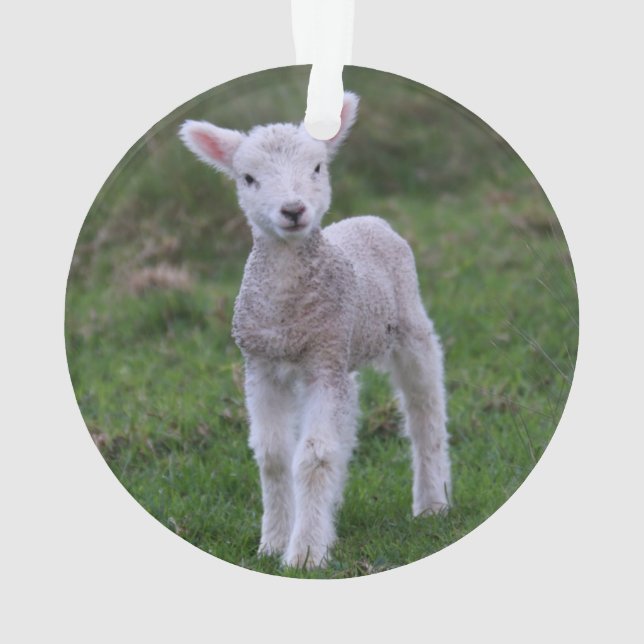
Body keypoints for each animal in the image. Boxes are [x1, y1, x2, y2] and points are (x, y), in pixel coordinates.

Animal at [179, 92, 451, 569]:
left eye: (318, 167)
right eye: (248, 178)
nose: (293, 210)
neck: (288, 310)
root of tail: (369, 220)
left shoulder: (323, 362)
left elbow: (314, 456)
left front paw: (305, 554)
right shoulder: (263, 365)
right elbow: (274, 456)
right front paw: (272, 543)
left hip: (407, 325)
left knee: (425, 409)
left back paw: (432, 502)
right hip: (343, 350)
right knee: (349, 418)